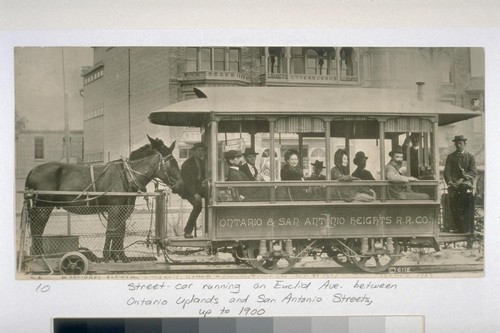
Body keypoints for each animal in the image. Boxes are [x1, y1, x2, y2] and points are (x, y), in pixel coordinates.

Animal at [23, 135, 184, 262]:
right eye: (170, 162)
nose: (180, 185)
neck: (127, 176)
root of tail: (32, 171)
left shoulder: (123, 210)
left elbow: (120, 232)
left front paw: (120, 256)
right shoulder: (115, 209)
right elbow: (111, 231)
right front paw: (107, 256)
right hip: (43, 206)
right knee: (37, 229)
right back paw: (39, 255)